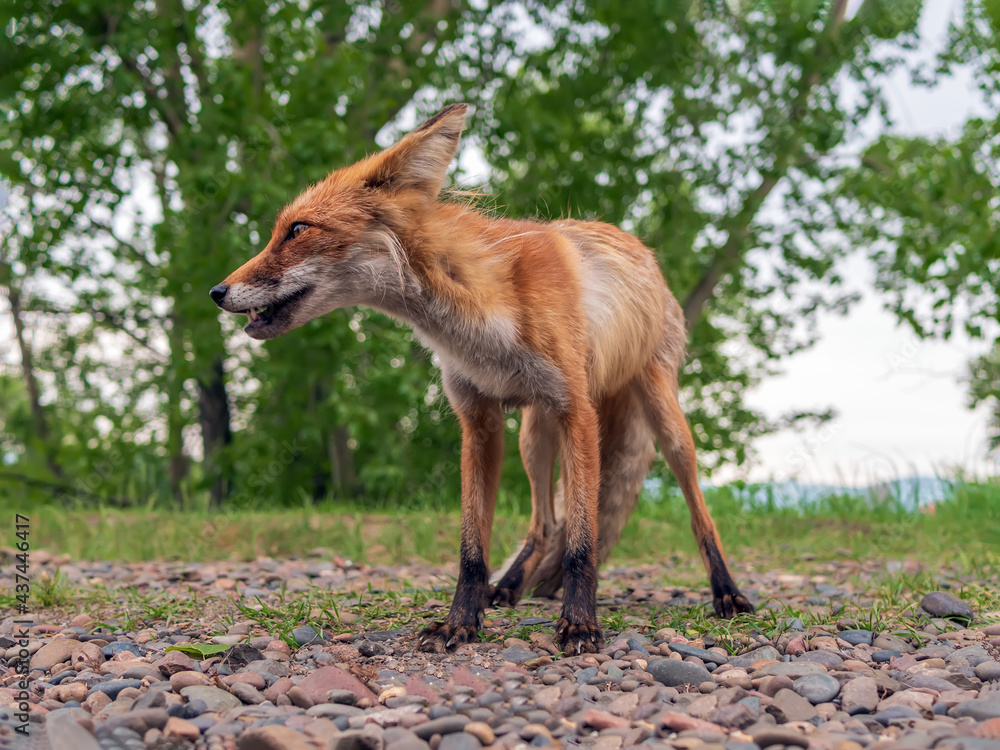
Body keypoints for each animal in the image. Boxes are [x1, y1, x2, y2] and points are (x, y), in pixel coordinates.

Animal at [211, 103, 752, 656]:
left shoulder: (578, 413)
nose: (217, 291)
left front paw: (580, 624)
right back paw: (508, 587)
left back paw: (726, 593)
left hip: (660, 417)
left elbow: (583, 543)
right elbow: (473, 548)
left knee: (696, 510)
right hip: (534, 438)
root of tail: (640, 247)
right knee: (543, 523)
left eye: (297, 229)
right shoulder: (479, 421)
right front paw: (461, 622)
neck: (476, 324)